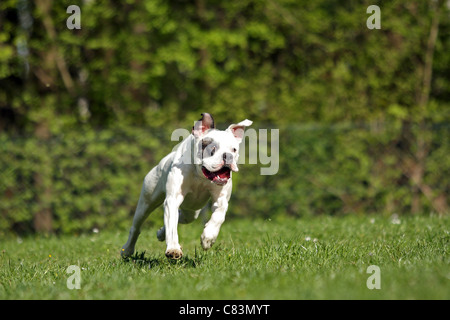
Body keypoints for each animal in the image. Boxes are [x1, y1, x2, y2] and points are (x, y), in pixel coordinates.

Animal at [121, 114, 251, 258]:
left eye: (234, 149)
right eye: (212, 149)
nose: (228, 156)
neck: (200, 175)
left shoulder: (221, 199)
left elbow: (219, 216)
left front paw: (208, 237)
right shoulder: (172, 199)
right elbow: (172, 228)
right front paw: (173, 249)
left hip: (192, 210)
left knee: (181, 216)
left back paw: (161, 233)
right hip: (146, 203)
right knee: (136, 227)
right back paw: (127, 250)